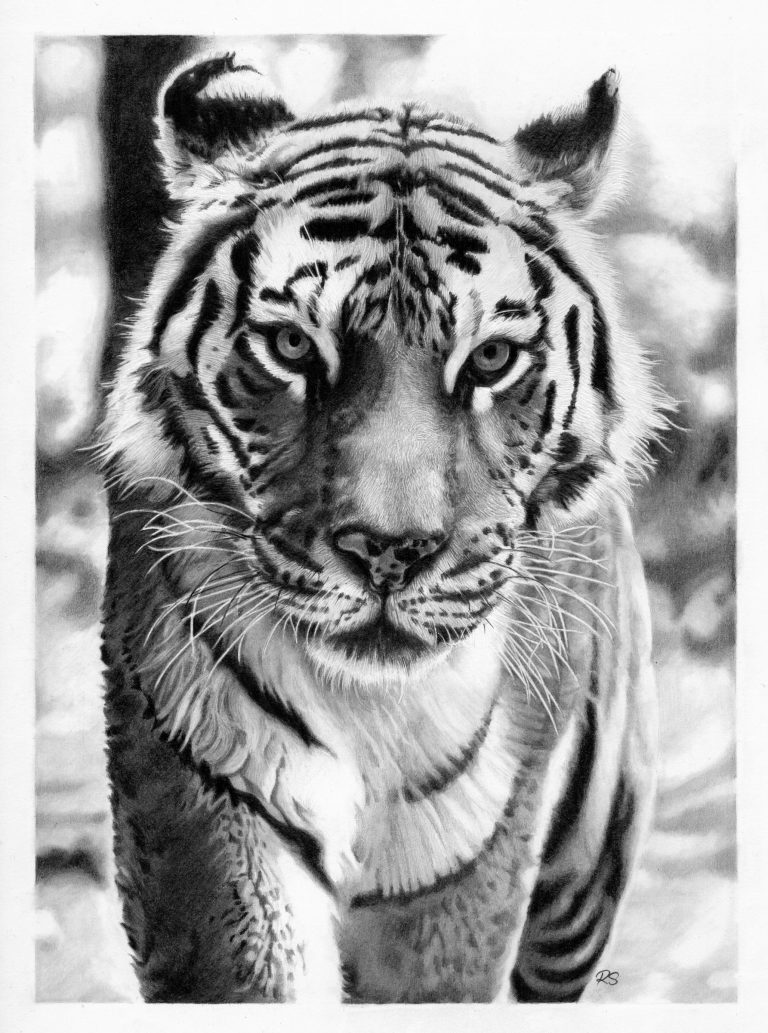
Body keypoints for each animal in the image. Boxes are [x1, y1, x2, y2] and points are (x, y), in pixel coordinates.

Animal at [98, 52, 663, 1003]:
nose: (389, 552)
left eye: (491, 359)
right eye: (292, 347)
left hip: (582, 879)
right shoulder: (206, 788)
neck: (372, 711)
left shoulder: (467, 850)